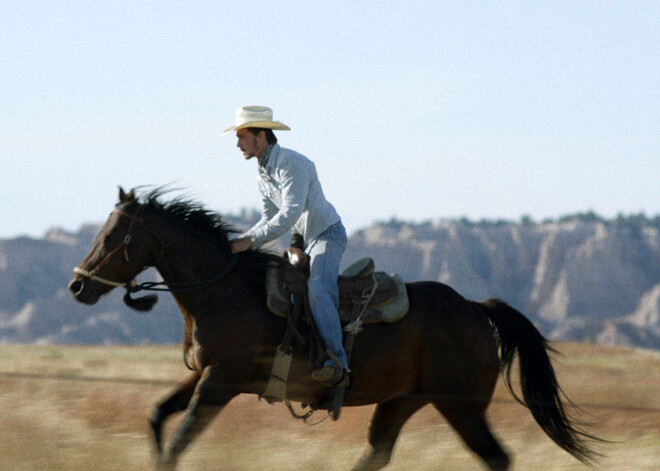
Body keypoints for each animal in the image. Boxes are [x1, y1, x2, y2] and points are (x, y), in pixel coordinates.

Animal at [67, 189, 600, 471]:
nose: (77, 285)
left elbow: (180, 438)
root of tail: (475, 308)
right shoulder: (204, 375)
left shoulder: (221, 382)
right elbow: (158, 416)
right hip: (403, 401)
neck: (222, 290)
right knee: (377, 453)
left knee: (496, 458)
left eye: (114, 236)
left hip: (460, 405)